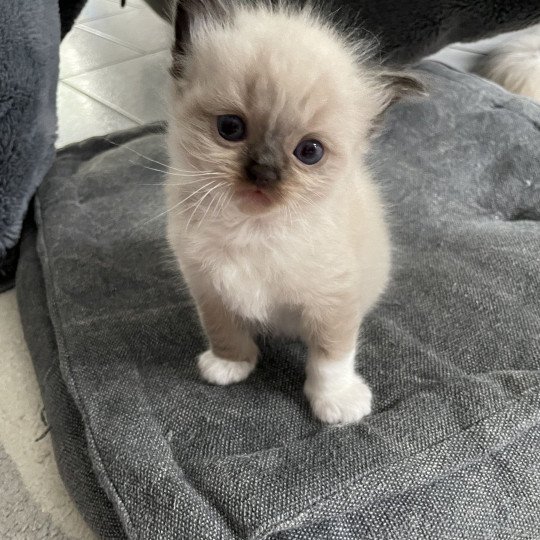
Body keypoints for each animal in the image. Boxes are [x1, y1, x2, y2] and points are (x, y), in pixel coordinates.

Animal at [167, 0, 424, 424]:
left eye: (309, 152)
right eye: (230, 128)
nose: (264, 173)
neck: (253, 229)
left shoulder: (333, 301)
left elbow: (331, 359)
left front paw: (337, 403)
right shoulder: (207, 287)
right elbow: (223, 330)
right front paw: (230, 365)